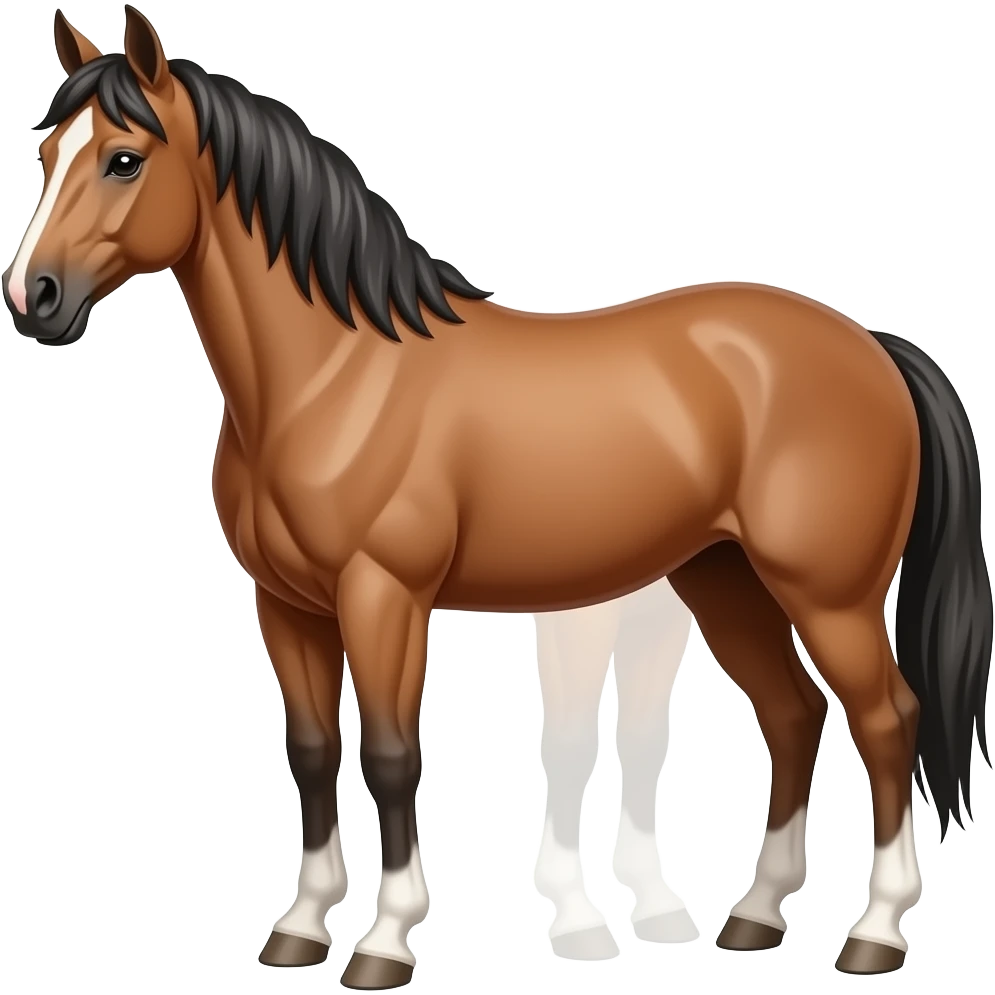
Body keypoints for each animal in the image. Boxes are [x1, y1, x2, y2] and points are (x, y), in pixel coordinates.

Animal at [4, 5, 991, 983]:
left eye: (123, 158)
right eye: (46, 154)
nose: (32, 296)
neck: (335, 375)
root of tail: (870, 346)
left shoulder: (385, 596)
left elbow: (391, 755)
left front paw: (385, 941)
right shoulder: (285, 604)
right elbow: (313, 752)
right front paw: (300, 927)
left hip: (828, 595)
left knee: (885, 719)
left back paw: (874, 931)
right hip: (724, 580)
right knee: (793, 715)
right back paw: (752, 914)